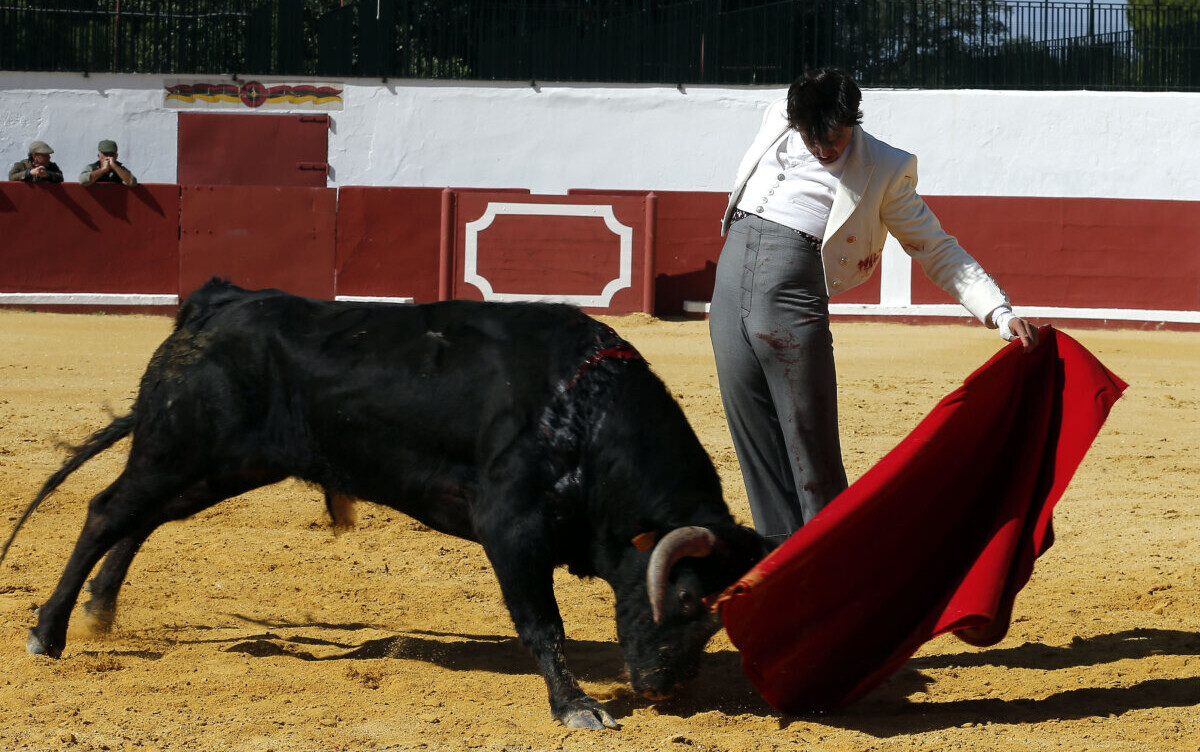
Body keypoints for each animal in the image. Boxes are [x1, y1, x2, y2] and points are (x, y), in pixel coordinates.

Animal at [0, 279, 768, 730]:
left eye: (716, 615)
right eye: (687, 599)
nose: (663, 689)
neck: (584, 411)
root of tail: (218, 303)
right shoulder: (511, 528)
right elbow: (542, 625)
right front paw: (577, 706)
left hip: (219, 465)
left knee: (141, 519)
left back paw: (99, 610)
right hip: (179, 448)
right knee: (107, 512)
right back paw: (50, 633)